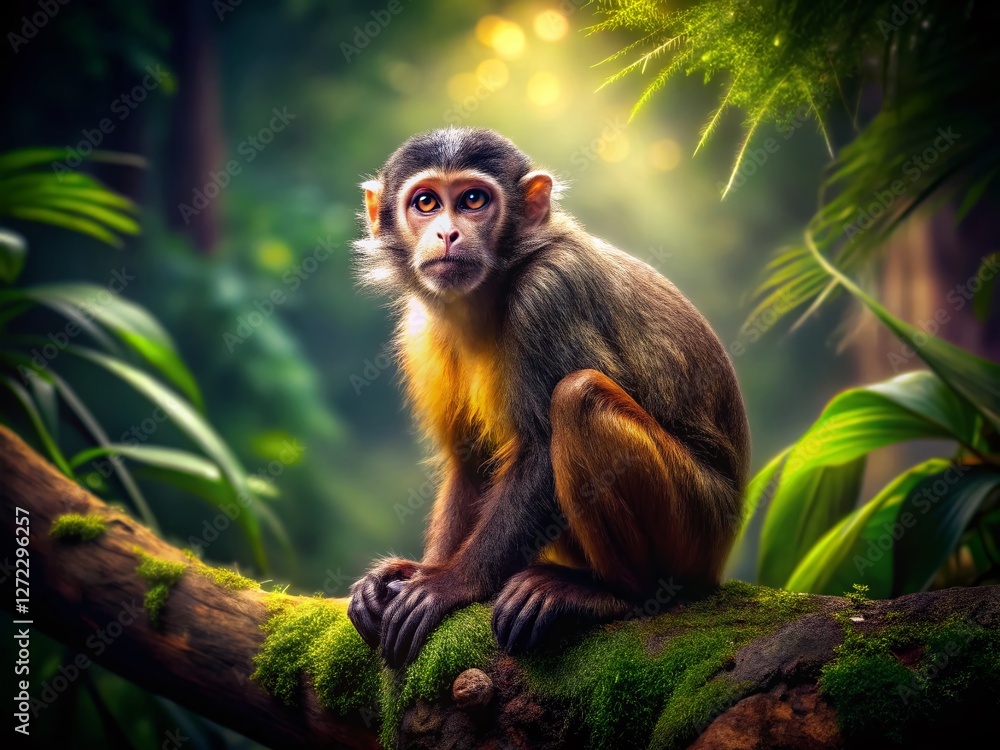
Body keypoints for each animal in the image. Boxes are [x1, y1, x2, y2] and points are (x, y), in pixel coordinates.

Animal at [347, 127, 750, 669]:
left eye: (473, 201)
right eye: (426, 202)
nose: (448, 234)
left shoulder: (551, 291)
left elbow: (540, 450)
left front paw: (450, 583)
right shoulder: (420, 327)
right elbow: (471, 463)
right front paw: (416, 571)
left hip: (698, 525)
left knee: (578, 398)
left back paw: (617, 595)